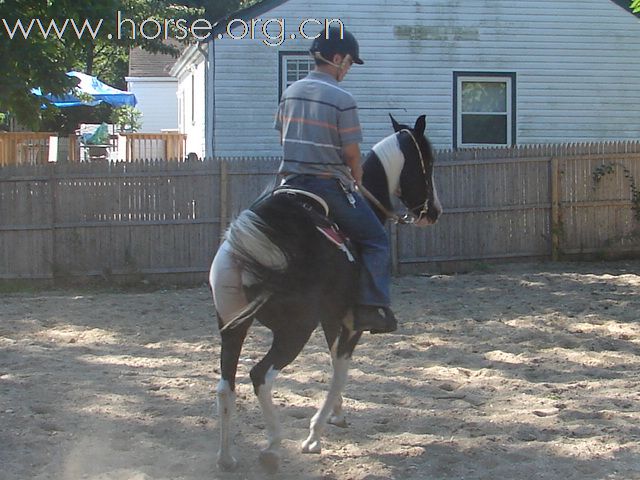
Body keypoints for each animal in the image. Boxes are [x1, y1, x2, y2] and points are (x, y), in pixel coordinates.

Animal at [210, 113, 440, 472]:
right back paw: (273, 445)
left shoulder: (332, 318)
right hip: (294, 330)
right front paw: (315, 434)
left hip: (233, 327)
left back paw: (227, 456)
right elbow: (340, 369)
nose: (434, 212)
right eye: (427, 164)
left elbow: (334, 362)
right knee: (261, 375)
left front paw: (337, 414)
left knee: (225, 386)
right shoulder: (351, 322)